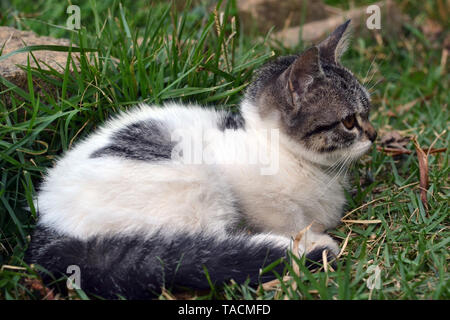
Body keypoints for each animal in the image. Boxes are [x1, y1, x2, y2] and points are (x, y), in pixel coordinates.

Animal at [25, 20, 376, 300]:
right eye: (349, 121)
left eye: (369, 111)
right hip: (195, 183)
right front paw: (306, 238)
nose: (374, 135)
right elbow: (282, 217)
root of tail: (49, 222)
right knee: (205, 247)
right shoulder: (245, 183)